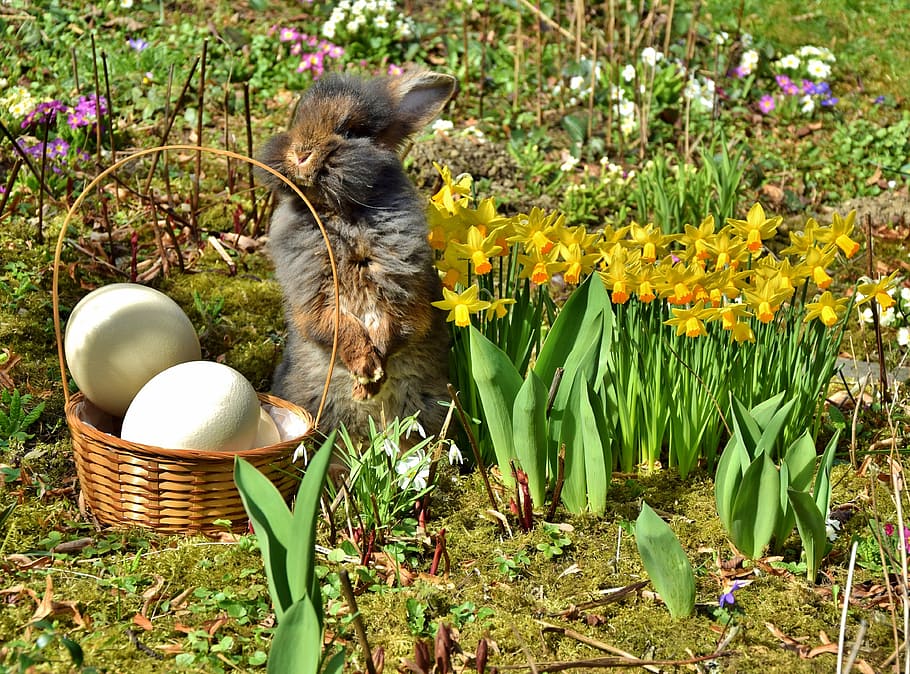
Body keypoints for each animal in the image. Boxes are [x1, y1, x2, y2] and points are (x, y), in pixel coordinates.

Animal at [257, 69, 458, 450]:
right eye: (298, 120)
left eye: (351, 131)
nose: (301, 154)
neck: (341, 213)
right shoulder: (315, 299)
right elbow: (336, 328)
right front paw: (366, 372)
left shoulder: (404, 292)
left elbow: (393, 326)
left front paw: (373, 376)